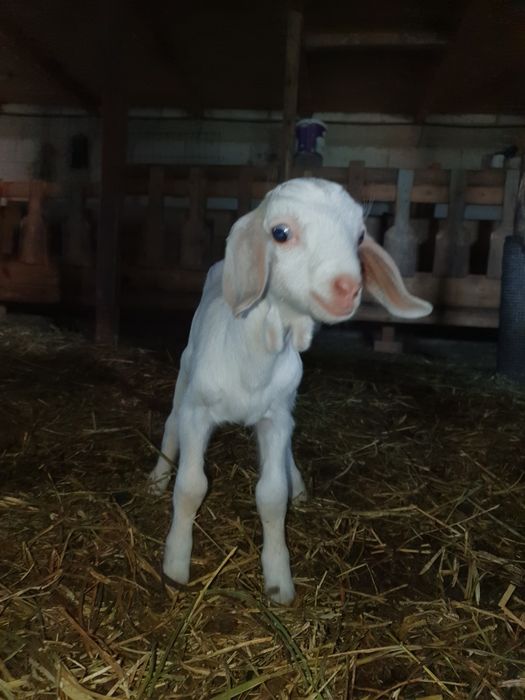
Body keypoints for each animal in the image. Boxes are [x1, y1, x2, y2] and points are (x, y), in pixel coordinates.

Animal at [149, 177, 432, 604]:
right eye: (280, 233)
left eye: (360, 236)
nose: (348, 287)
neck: (253, 358)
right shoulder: (197, 413)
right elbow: (191, 486)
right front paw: (176, 565)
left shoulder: (277, 417)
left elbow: (272, 495)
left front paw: (279, 581)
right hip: (185, 371)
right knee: (170, 421)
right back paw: (157, 477)